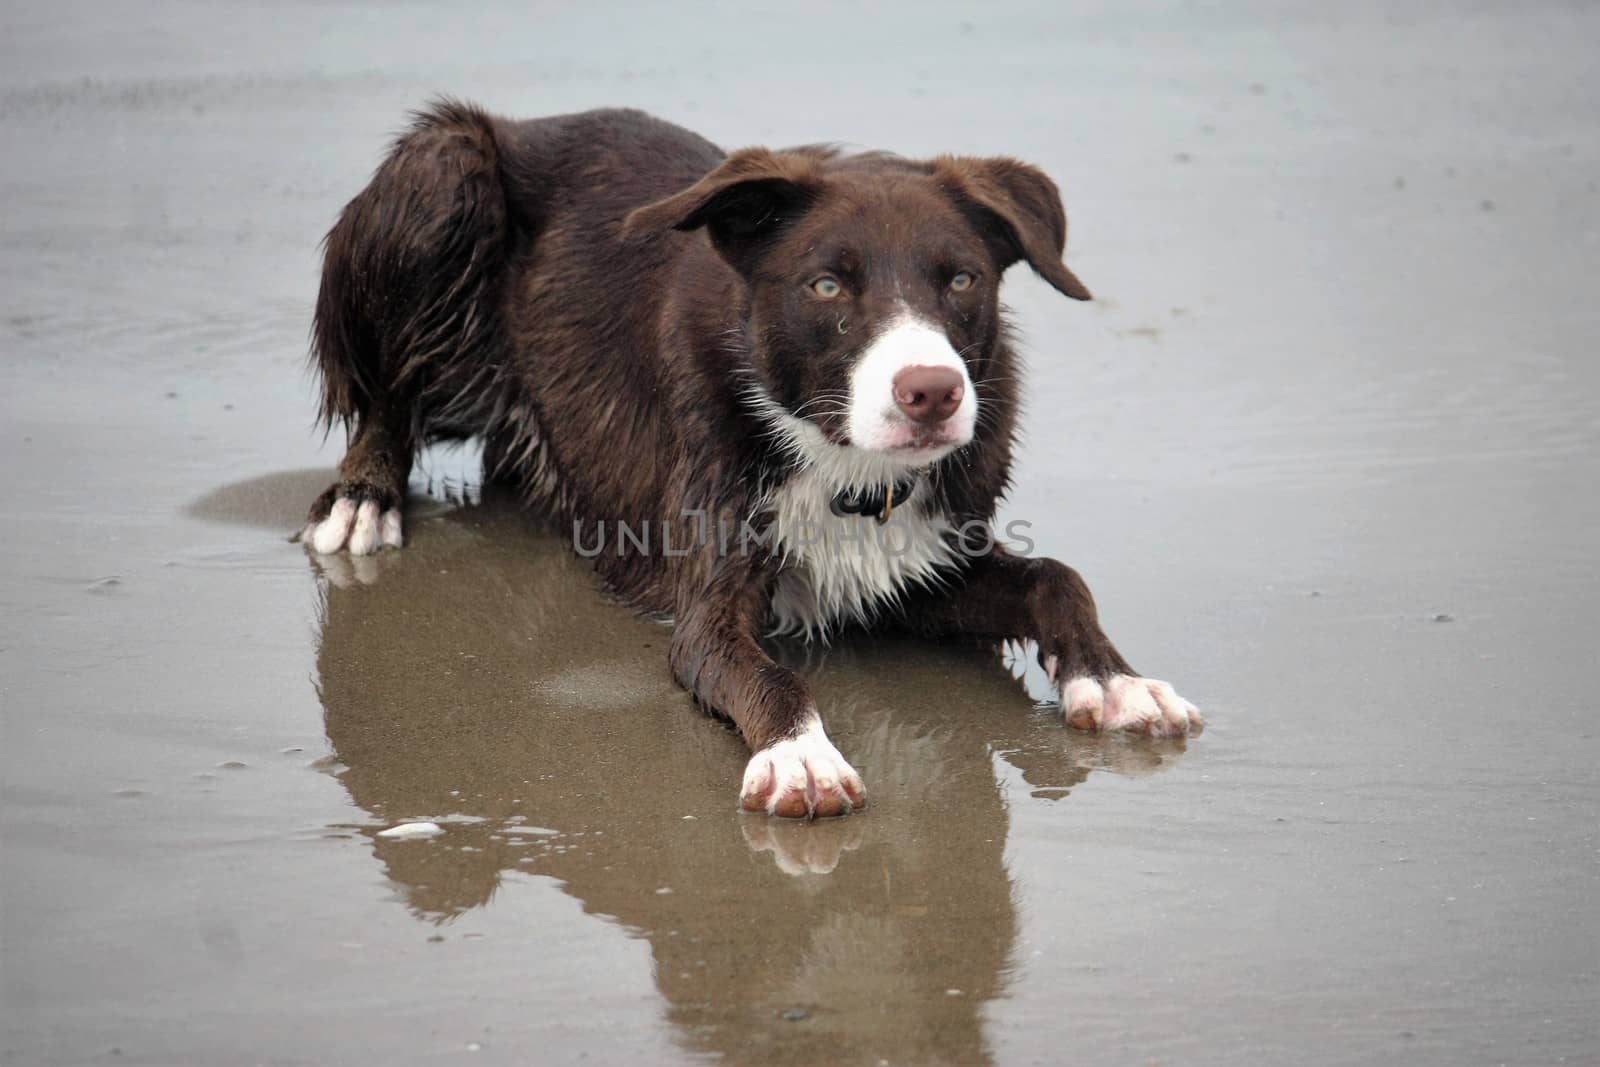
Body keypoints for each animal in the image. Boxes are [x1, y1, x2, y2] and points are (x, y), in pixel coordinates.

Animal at [300, 102, 1203, 819]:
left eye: (961, 279)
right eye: (828, 286)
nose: (933, 392)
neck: (845, 472)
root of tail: (527, 122)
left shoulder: (922, 562)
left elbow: (1056, 576)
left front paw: (1115, 680)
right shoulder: (710, 606)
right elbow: (769, 676)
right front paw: (800, 755)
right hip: (443, 167)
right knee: (387, 391)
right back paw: (364, 497)